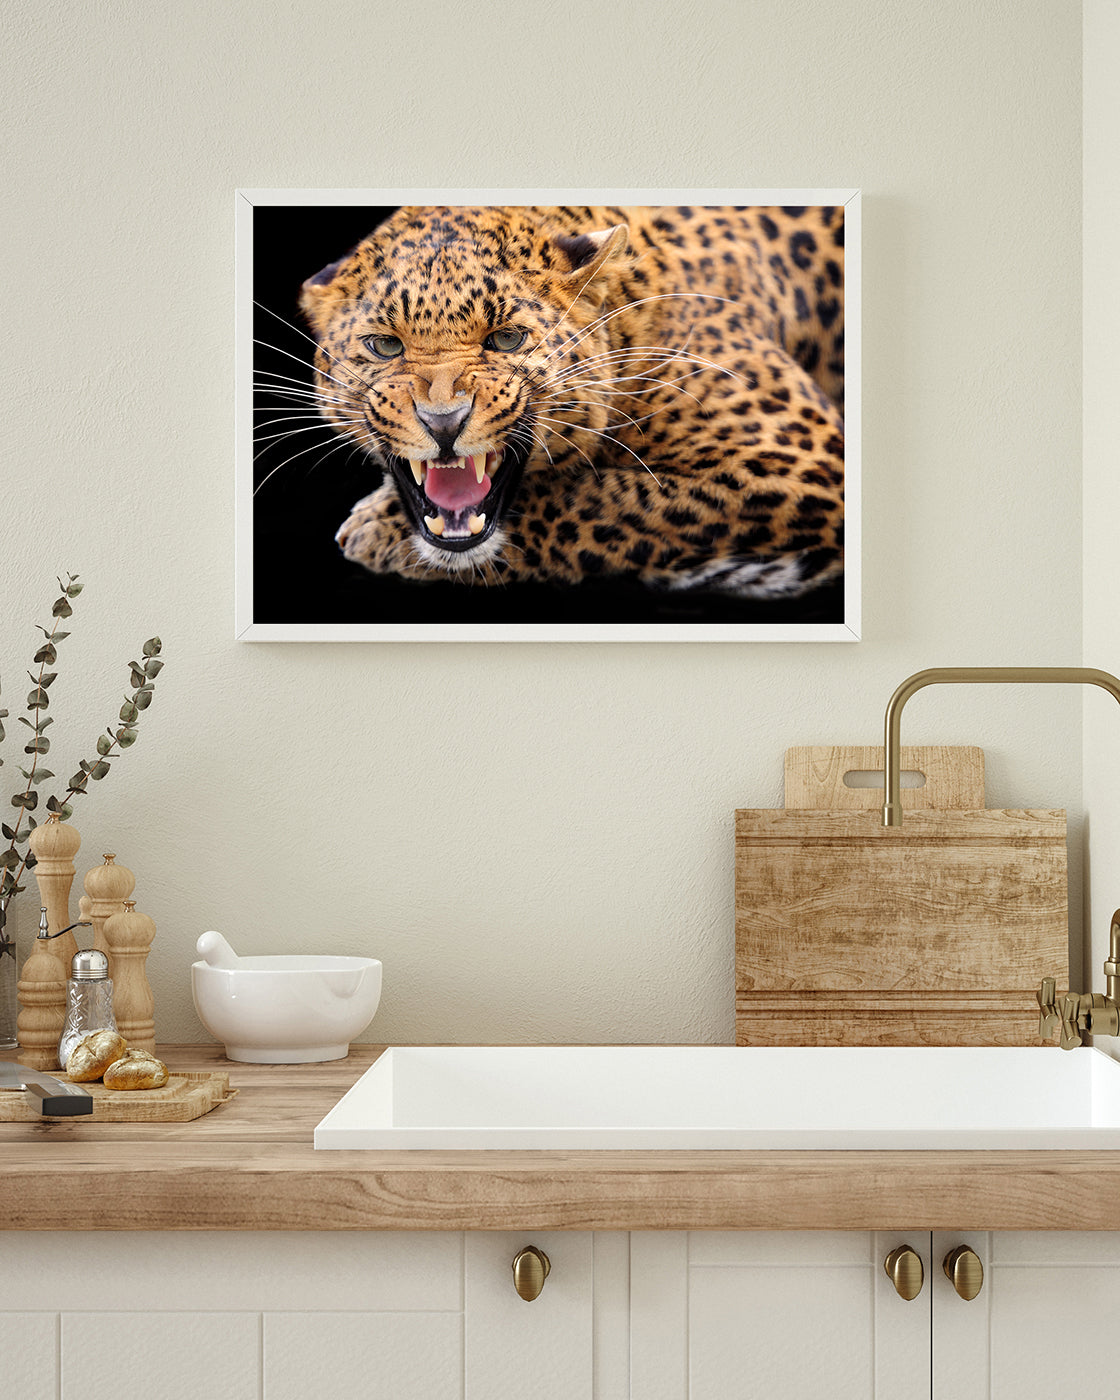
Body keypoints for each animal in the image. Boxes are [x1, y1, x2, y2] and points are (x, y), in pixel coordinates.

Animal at [295, 204, 845, 600]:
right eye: (385, 346)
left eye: (507, 339)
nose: (444, 422)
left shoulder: (806, 464)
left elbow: (609, 499)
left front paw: (377, 530)